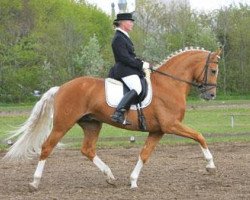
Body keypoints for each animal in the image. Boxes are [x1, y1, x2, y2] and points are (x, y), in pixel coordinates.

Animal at [2, 47, 222, 191]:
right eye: (213, 70)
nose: (211, 95)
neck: (169, 84)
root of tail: (61, 87)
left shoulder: (157, 130)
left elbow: (145, 154)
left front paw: (133, 181)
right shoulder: (171, 125)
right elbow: (199, 136)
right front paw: (210, 166)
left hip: (92, 124)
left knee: (88, 149)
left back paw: (110, 177)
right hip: (63, 124)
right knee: (47, 147)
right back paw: (34, 182)